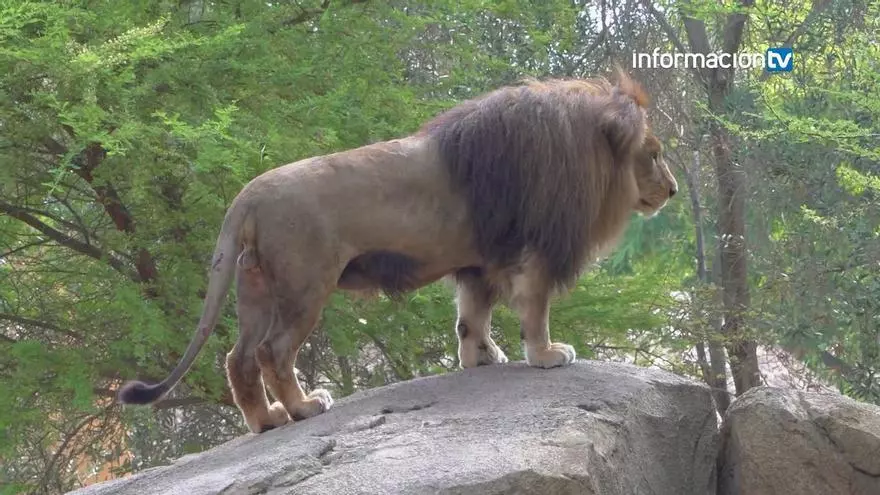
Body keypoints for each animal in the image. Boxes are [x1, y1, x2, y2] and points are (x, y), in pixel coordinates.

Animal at [117, 70, 678, 434]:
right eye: (653, 155)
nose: (672, 191)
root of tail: (246, 195)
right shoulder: (534, 251)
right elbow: (533, 310)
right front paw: (545, 356)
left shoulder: (479, 260)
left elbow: (472, 316)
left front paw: (481, 358)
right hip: (305, 285)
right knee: (271, 353)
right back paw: (303, 409)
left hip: (255, 288)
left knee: (237, 360)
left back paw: (267, 421)